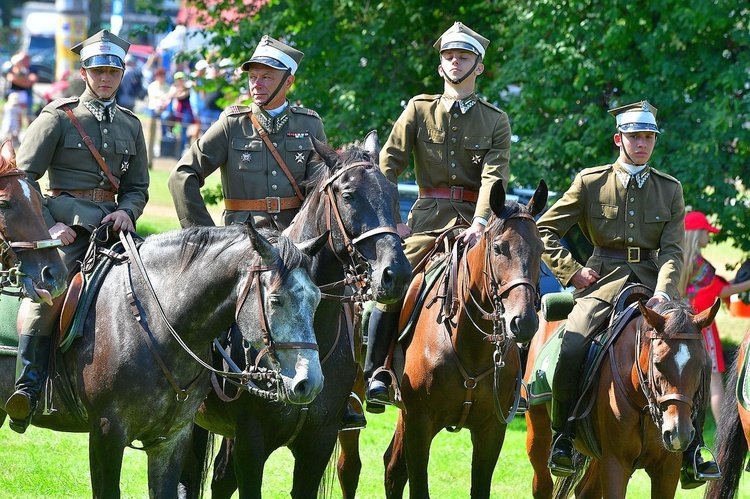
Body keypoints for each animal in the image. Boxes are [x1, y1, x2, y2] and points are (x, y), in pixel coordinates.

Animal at [0, 225, 324, 498]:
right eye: (276, 300)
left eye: (317, 298)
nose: (309, 383)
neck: (154, 323)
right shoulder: (106, 432)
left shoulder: (172, 439)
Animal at [384, 181, 548, 499]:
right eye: (498, 248)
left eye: (541, 249)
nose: (523, 322)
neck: (470, 345)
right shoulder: (419, 423)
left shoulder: (492, 429)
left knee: (393, 469)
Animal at [524, 298, 720, 498]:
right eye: (657, 363)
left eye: (701, 365)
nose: (678, 433)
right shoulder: (616, 464)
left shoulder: (667, 468)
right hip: (538, 431)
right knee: (542, 483)